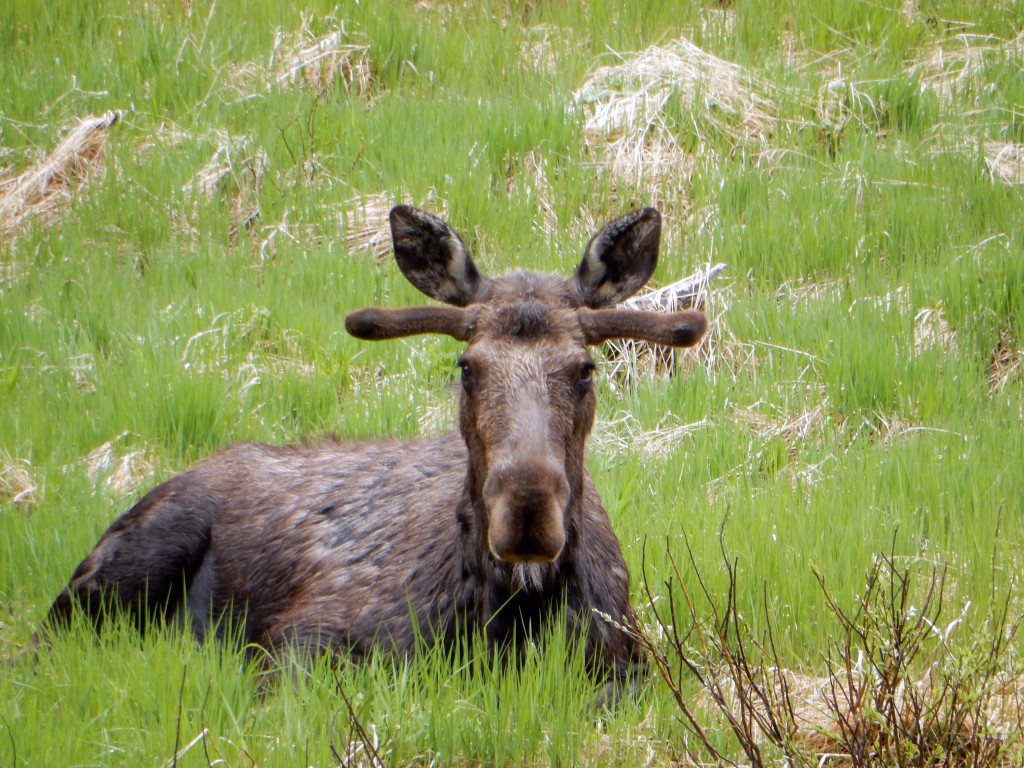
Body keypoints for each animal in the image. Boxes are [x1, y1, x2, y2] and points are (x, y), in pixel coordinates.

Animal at [39, 205, 704, 684]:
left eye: (585, 369)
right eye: (467, 367)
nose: (526, 513)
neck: (506, 613)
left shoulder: (626, 664)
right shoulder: (300, 644)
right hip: (116, 576)